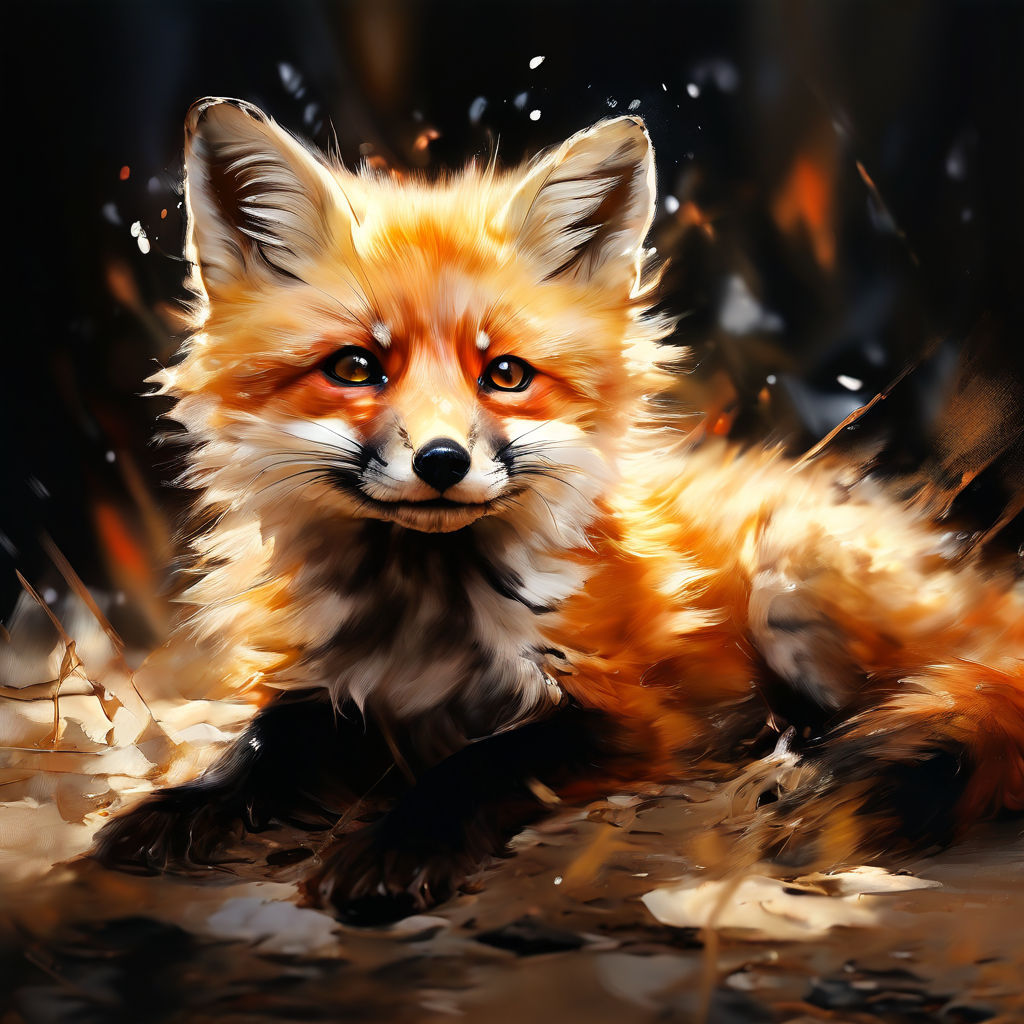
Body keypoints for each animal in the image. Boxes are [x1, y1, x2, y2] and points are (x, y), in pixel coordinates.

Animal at [95, 97, 1024, 921]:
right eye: (356, 367)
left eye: (505, 374)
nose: (442, 463)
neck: (424, 618)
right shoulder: (330, 684)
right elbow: (259, 747)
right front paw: (184, 803)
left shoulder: (629, 714)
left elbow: (482, 763)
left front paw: (396, 844)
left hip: (793, 596)